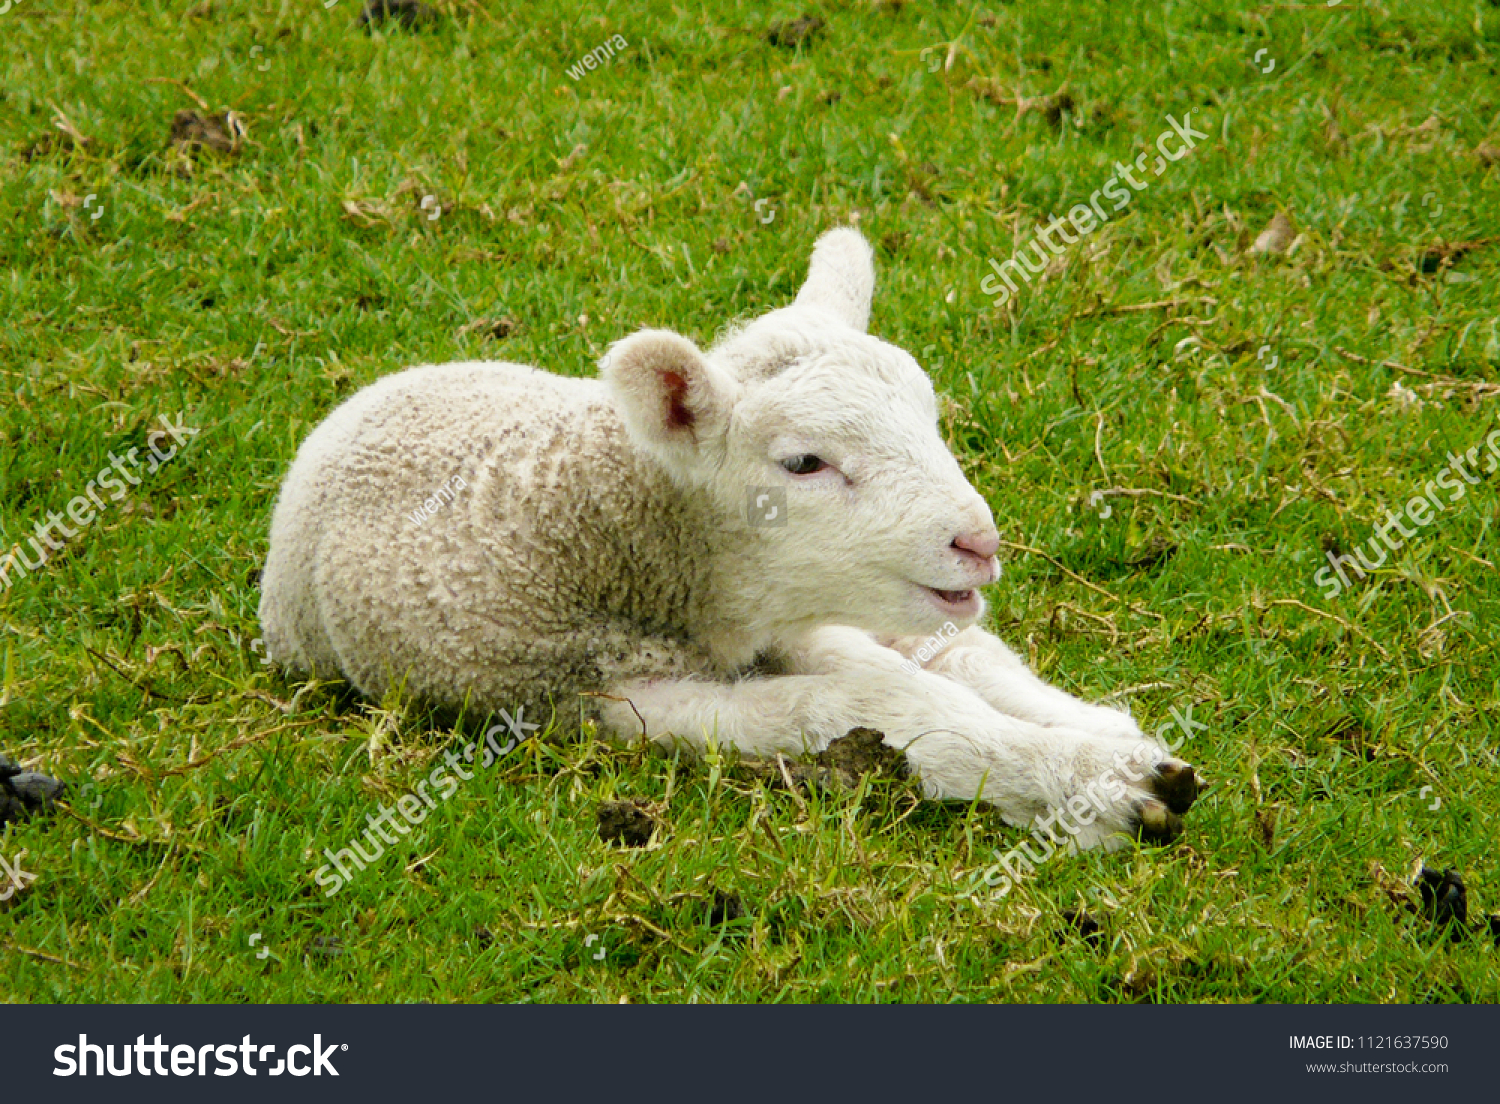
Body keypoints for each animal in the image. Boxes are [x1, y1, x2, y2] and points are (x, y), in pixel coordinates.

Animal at [261, 228, 1206, 852]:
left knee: (960, 651)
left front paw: (1111, 761)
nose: (976, 542)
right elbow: (866, 707)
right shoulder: (616, 694)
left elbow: (916, 679)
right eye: (803, 463)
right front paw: (1091, 787)